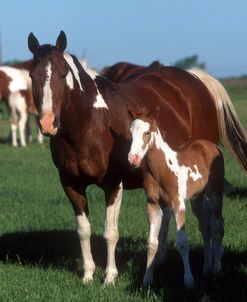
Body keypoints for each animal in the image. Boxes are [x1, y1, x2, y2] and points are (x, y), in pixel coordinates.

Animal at [128, 107, 225, 288]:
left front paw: (188, 280)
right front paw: (147, 279)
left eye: (147, 132)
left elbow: (182, 243)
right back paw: (207, 269)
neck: (161, 169)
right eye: (130, 133)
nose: (133, 159)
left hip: (215, 194)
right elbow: (152, 243)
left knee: (218, 227)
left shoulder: (178, 204)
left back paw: (216, 269)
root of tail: (210, 145)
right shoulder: (153, 205)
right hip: (197, 200)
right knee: (205, 227)